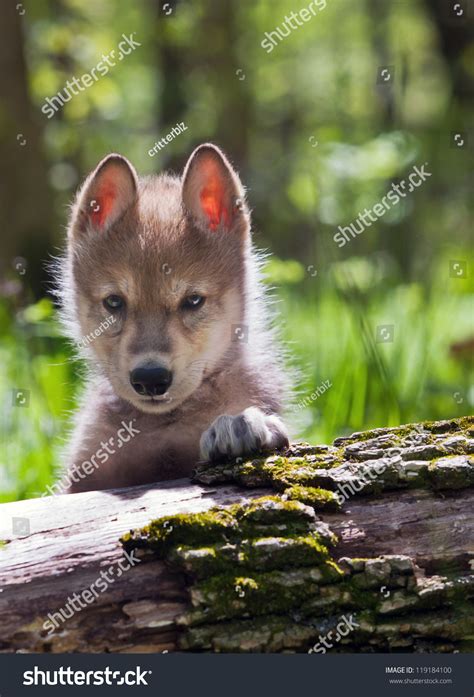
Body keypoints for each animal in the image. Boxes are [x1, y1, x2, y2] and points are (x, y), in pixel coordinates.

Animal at [56, 144, 290, 493]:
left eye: (193, 301)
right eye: (114, 302)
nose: (150, 379)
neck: (166, 425)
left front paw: (241, 426)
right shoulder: (83, 479)